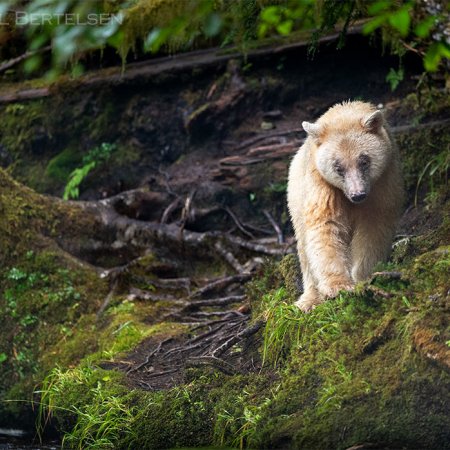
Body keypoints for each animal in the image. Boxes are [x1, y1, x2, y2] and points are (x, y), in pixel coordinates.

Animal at [288, 101, 404, 312]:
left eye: (364, 160)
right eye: (338, 167)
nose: (357, 195)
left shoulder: (384, 181)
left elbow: (373, 229)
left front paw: (363, 278)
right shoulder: (321, 183)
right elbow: (325, 226)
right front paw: (338, 286)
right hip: (296, 197)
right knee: (304, 248)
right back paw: (309, 300)